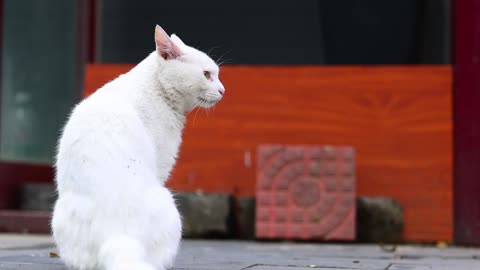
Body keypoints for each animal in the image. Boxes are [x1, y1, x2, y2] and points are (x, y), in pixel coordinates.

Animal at [52, 25, 225, 270]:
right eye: (207, 74)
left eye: (216, 74)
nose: (223, 90)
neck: (156, 88)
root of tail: (118, 236)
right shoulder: (162, 162)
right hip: (169, 207)